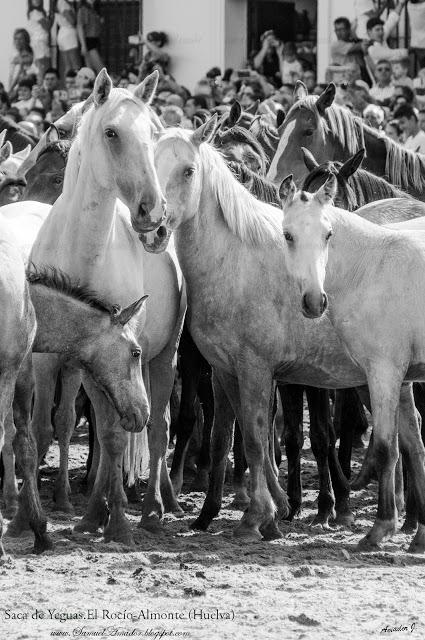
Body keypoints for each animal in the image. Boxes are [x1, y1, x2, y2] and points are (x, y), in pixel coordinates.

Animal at [26, 67, 184, 544]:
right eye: (112, 132)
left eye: (153, 133)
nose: (154, 214)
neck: (84, 250)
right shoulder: (60, 357)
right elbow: (44, 428)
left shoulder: (118, 353)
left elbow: (116, 436)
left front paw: (118, 521)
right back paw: (93, 511)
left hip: (164, 358)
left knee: (153, 430)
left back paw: (151, 508)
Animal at [278, 175, 425, 552]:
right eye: (288, 235)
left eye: (328, 234)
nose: (314, 302)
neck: (373, 268)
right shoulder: (402, 379)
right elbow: (412, 446)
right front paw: (419, 534)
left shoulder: (383, 373)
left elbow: (386, 447)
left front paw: (380, 529)